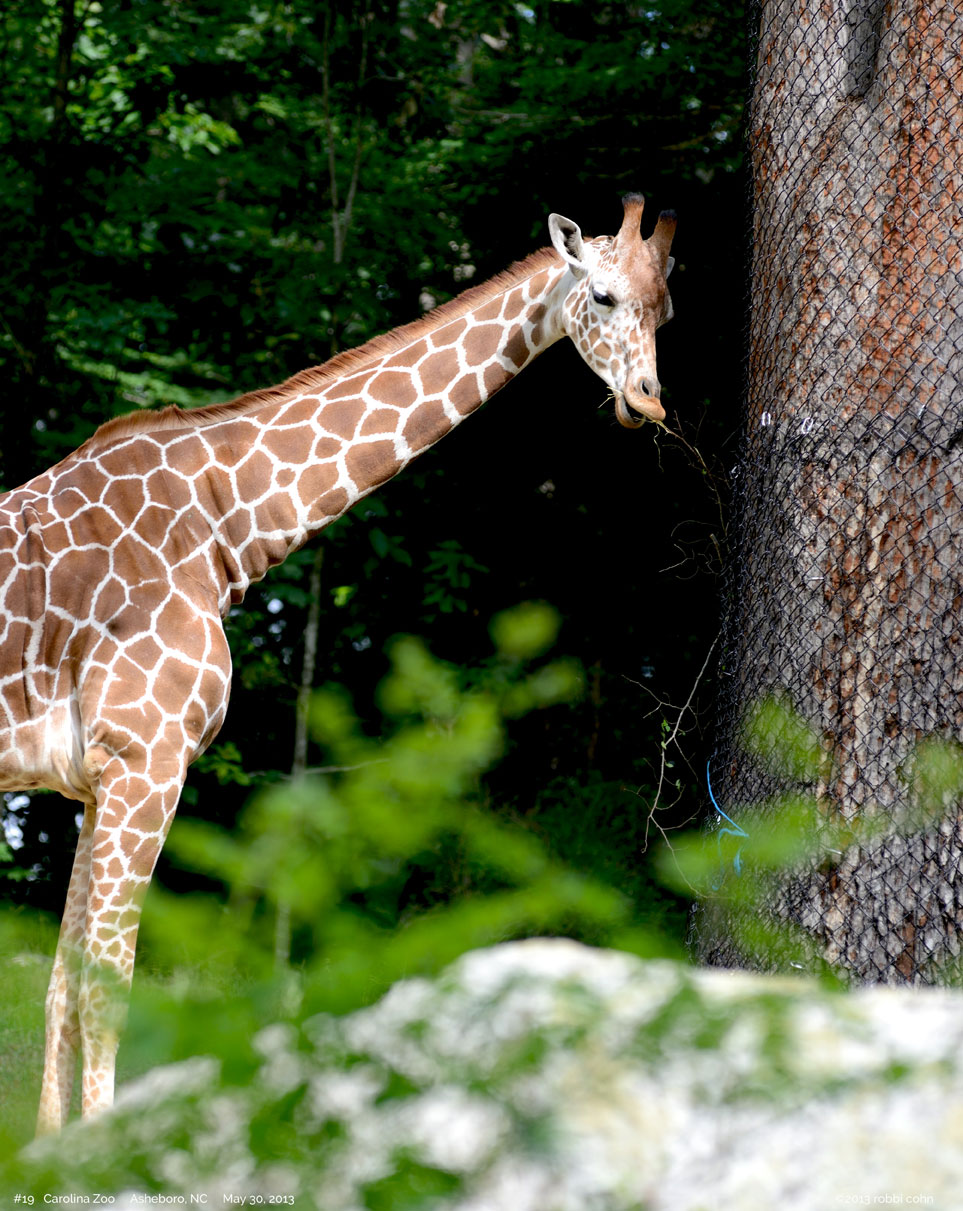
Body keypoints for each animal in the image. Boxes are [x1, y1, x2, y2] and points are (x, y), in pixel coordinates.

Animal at [1, 193, 676, 1134]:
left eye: (665, 312)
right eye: (604, 297)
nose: (648, 401)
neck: (222, 522)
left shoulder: (93, 780)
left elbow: (62, 987)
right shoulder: (146, 760)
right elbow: (108, 990)